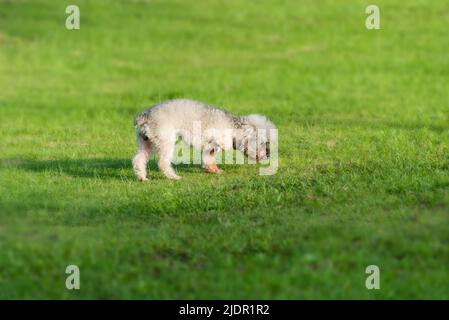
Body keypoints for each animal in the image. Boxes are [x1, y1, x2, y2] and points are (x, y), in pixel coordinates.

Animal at [131, 98, 274, 180]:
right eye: (263, 142)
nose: (268, 154)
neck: (233, 128)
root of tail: (145, 115)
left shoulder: (208, 146)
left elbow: (208, 159)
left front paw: (213, 170)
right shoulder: (213, 144)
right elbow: (209, 158)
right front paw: (214, 170)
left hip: (146, 143)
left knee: (138, 159)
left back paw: (142, 177)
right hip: (165, 141)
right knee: (162, 163)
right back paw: (173, 177)